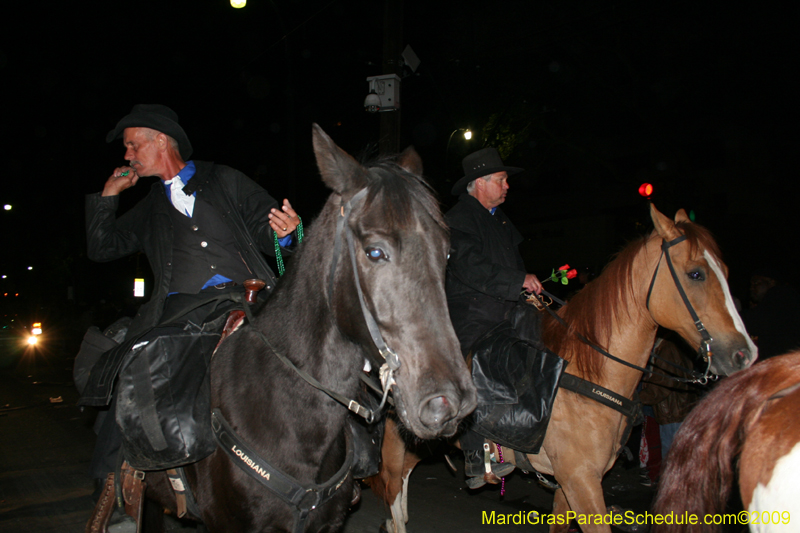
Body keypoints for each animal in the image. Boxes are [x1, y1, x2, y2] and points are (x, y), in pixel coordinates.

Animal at [368, 204, 756, 532]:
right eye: (696, 273)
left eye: (725, 271)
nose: (745, 354)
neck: (589, 373)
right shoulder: (581, 482)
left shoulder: (571, 485)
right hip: (392, 444)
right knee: (391, 493)